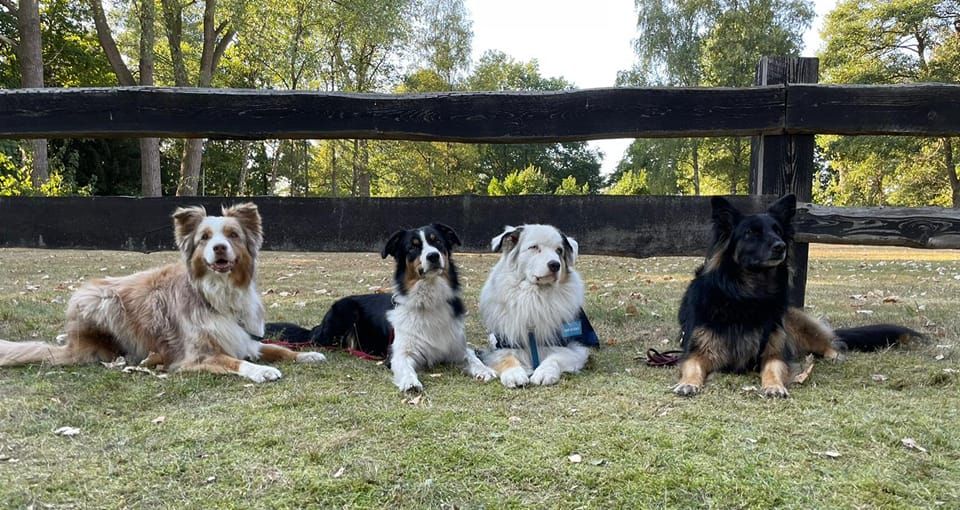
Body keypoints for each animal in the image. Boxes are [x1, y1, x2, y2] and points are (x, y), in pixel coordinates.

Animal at [0, 203, 325, 382]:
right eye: (205, 238)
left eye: (233, 234)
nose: (219, 248)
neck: (219, 294)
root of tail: (72, 342)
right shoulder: (196, 356)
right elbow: (235, 361)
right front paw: (261, 372)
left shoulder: (244, 337)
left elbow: (277, 349)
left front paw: (306, 355)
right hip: (101, 300)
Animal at [479, 224, 599, 388]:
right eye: (534, 247)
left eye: (559, 250)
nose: (555, 265)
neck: (534, 296)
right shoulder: (504, 343)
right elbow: (507, 358)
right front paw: (514, 373)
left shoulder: (572, 347)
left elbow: (554, 357)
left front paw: (544, 373)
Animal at [675, 194, 922, 398]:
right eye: (751, 233)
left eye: (777, 231)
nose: (780, 246)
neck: (747, 297)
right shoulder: (698, 351)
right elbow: (692, 367)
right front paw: (688, 383)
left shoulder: (774, 351)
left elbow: (774, 369)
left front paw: (774, 386)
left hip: (798, 326)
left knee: (831, 343)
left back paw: (835, 355)